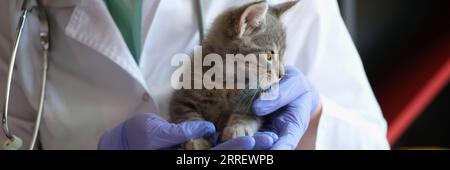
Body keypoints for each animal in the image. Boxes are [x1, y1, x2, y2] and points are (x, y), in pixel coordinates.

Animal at [169, 0, 298, 150]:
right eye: (269, 56)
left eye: (283, 55)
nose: (281, 74)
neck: (228, 80)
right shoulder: (182, 96)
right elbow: (188, 118)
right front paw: (197, 139)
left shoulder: (253, 100)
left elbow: (247, 114)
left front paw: (238, 128)